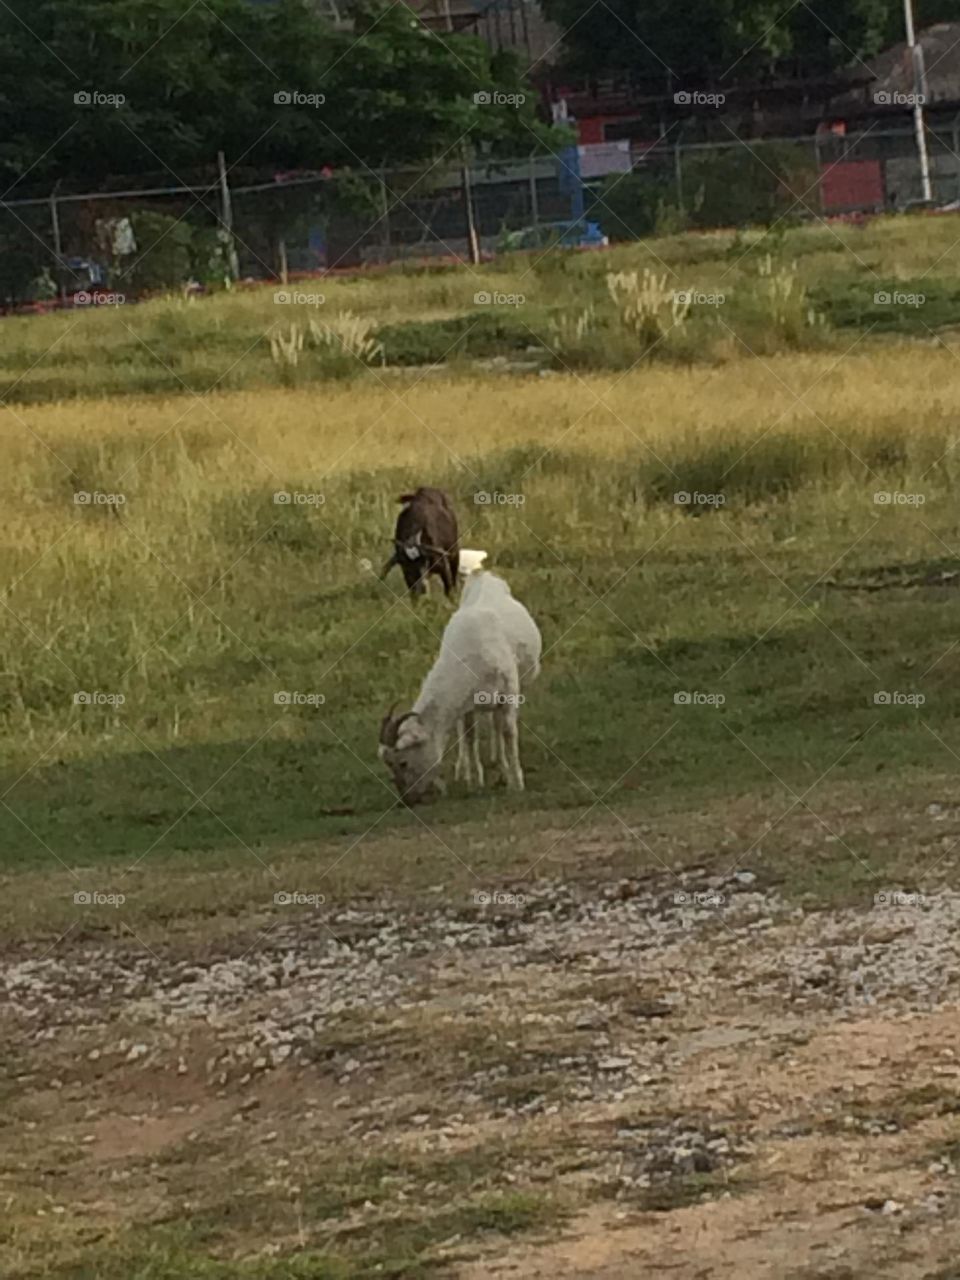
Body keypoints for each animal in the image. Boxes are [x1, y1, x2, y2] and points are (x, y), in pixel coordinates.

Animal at [379, 571, 541, 805]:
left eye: (402, 762)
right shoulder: (466, 706)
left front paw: (516, 782)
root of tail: (482, 574)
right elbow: (470, 738)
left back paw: (501, 766)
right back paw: (466, 769)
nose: (407, 800)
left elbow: (509, 733)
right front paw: (475, 782)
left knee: (497, 725)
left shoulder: (508, 695)